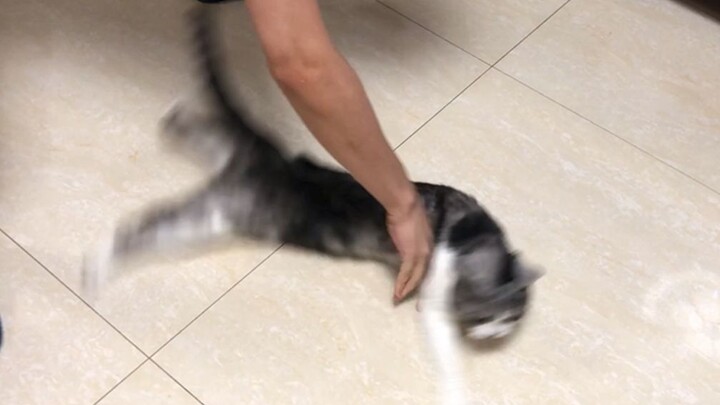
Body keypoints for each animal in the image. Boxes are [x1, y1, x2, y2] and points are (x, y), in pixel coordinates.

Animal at [83, 7, 540, 402]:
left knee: (193, 146)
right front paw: (456, 390)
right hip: (215, 217)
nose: (496, 335)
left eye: (513, 320)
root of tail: (266, 159)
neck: (475, 233)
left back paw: (174, 119)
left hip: (216, 196)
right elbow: (445, 354)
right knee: (143, 226)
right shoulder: (435, 291)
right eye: (490, 317)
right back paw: (99, 266)